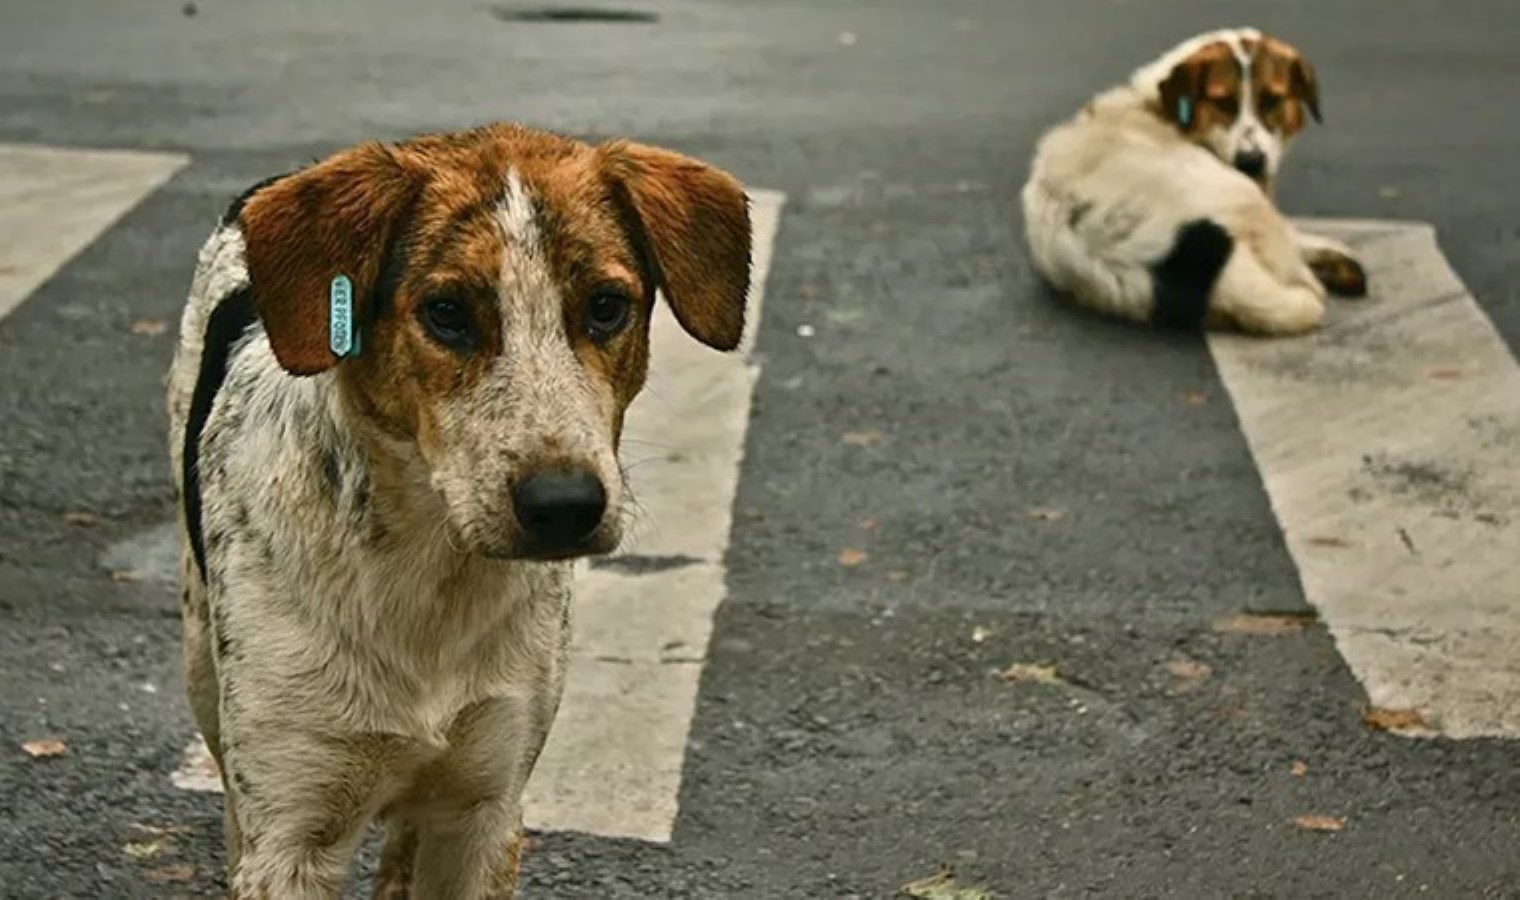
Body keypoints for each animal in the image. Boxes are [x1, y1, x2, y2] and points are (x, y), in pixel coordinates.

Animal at [166, 123, 753, 893]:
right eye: (445, 313)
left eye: (605, 306)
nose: (564, 505)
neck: (429, 575)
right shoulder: (291, 836)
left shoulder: (485, 810)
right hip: (203, 660)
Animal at [1021, 29, 1368, 337]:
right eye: (1223, 103)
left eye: (1272, 100)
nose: (1251, 161)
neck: (1159, 106)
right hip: (1240, 195)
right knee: (1296, 273)